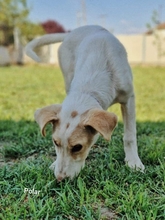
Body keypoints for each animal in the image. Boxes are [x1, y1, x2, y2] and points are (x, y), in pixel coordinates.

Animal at [25, 24, 144, 181]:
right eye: (55, 142)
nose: (60, 179)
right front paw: (55, 163)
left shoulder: (129, 98)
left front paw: (133, 162)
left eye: (77, 147)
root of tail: (72, 32)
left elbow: (130, 136)